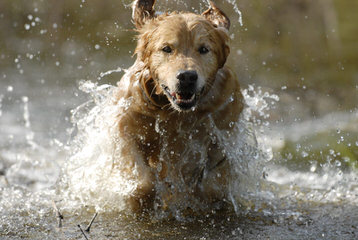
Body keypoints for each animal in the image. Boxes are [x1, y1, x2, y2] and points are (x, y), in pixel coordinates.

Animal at [114, 0, 243, 210]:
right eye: (167, 48)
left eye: (204, 49)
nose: (187, 77)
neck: (175, 114)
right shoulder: (127, 126)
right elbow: (143, 181)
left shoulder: (226, 131)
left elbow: (214, 183)